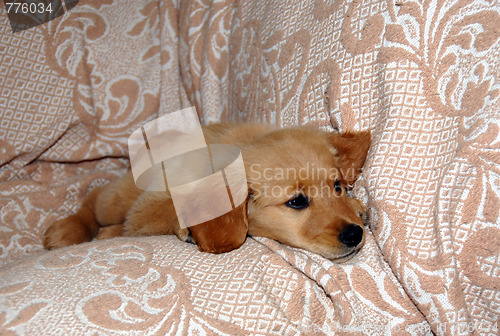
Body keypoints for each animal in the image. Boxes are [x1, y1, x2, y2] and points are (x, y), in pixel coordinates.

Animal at [44, 122, 372, 260]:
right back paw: (67, 231)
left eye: (338, 187)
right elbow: (168, 210)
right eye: (296, 202)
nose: (354, 235)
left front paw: (357, 207)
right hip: (119, 197)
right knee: (94, 200)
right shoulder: (148, 205)